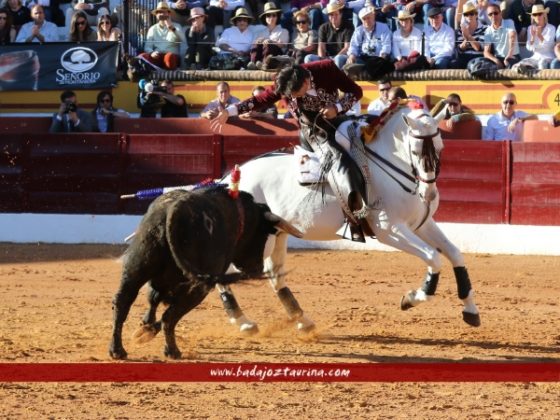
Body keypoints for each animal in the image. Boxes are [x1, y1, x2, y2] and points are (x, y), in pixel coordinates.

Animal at [109, 189, 302, 360]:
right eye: (263, 235)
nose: (258, 267)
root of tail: (174, 211)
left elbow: (153, 299)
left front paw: (144, 327)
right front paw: (146, 330)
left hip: (135, 267)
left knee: (123, 302)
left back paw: (117, 350)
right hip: (200, 286)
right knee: (170, 316)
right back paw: (172, 351)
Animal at [217, 106, 480, 334]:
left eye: (440, 147)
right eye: (415, 151)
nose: (429, 194)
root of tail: (228, 180)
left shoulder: (421, 224)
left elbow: (454, 254)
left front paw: (471, 311)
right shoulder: (389, 230)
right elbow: (434, 258)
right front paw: (411, 298)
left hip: (278, 234)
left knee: (274, 274)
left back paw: (302, 320)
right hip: (256, 242)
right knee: (226, 270)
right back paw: (243, 321)